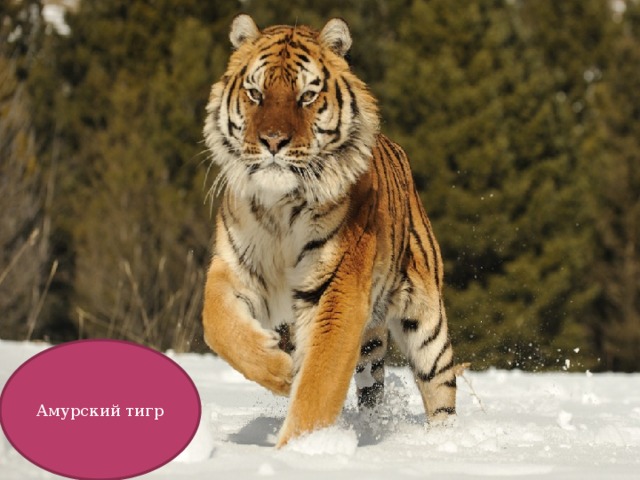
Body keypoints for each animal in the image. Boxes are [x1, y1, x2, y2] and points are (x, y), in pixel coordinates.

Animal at [202, 14, 457, 448]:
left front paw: (297, 449)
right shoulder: (236, 270)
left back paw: (443, 443)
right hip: (371, 341)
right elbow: (217, 325)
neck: (280, 207)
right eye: (255, 94)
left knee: (440, 388)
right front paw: (281, 370)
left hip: (426, 324)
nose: (273, 141)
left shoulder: (336, 291)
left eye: (306, 96)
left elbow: (318, 385)